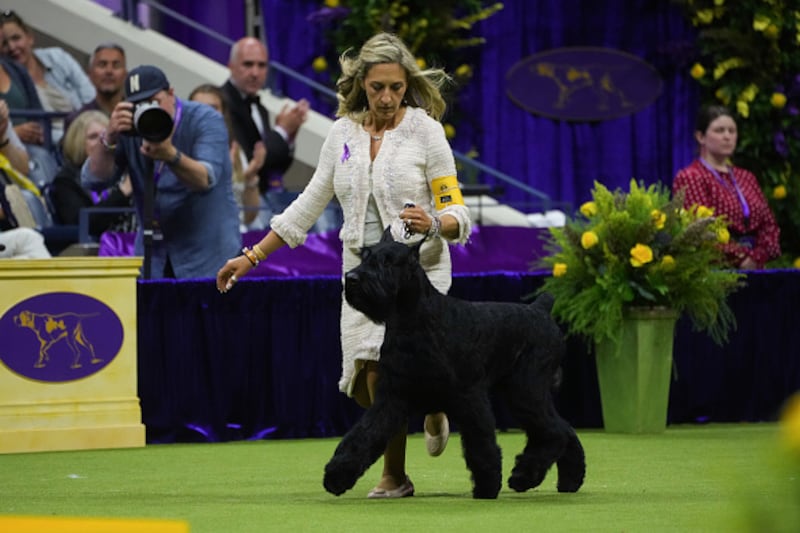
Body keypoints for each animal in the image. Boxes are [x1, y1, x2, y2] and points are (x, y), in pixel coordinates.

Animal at [322, 230, 584, 498]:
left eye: (387, 262)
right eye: (364, 256)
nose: (352, 278)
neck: (413, 320)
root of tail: (540, 309)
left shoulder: (468, 395)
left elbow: (481, 442)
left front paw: (487, 486)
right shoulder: (392, 397)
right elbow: (364, 434)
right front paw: (336, 475)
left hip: (526, 389)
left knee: (554, 432)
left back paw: (523, 476)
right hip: (523, 392)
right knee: (564, 430)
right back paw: (569, 481)